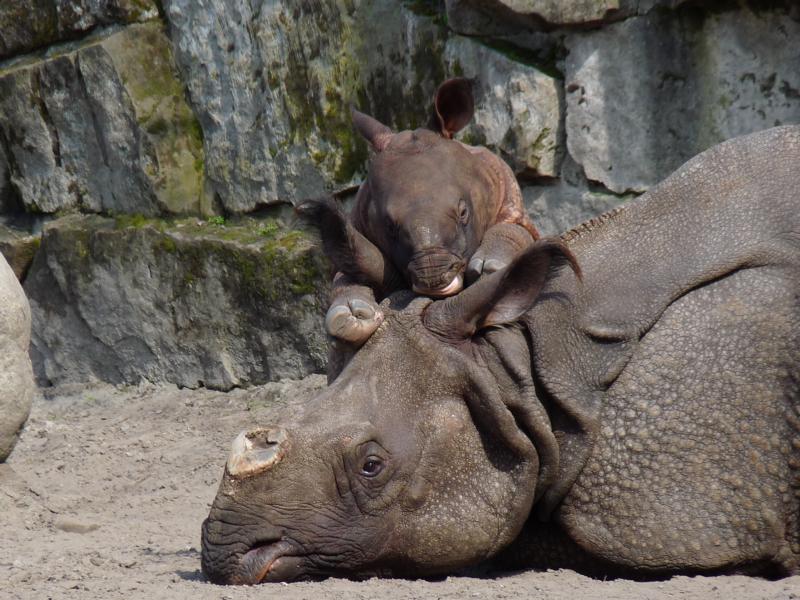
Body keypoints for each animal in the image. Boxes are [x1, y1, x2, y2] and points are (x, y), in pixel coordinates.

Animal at [297, 78, 539, 346]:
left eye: (464, 212)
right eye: (389, 226)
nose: (433, 278)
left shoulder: (513, 204)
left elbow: (515, 230)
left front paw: (490, 268)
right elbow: (346, 273)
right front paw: (351, 315)